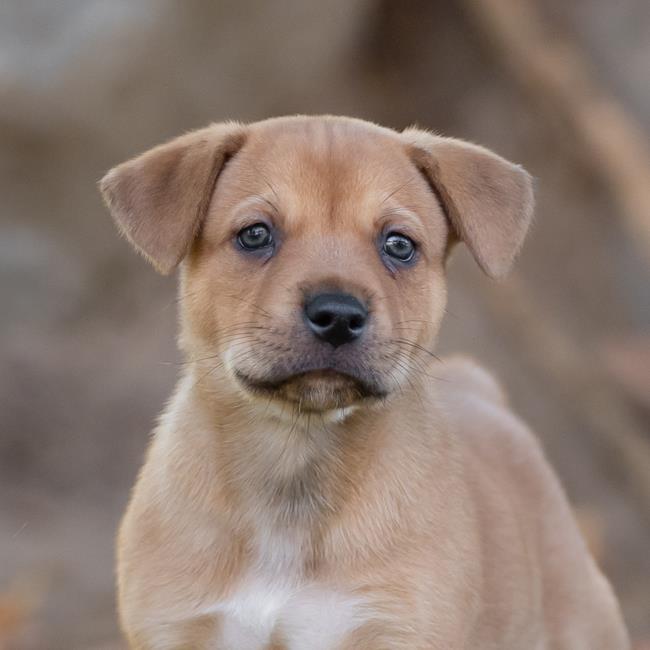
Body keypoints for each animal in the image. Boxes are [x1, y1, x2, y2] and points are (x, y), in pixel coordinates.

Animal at [101, 117, 628, 648]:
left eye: (399, 245)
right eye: (254, 235)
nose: (337, 315)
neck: (294, 457)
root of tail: (480, 391)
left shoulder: (397, 629)